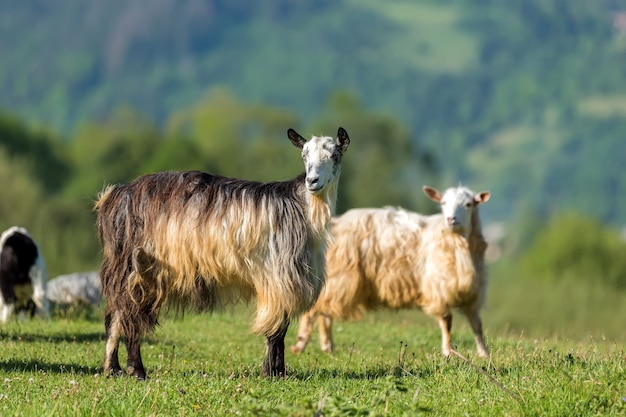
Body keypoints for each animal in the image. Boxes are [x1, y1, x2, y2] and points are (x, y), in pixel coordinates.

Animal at [93, 127, 348, 376]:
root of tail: (113, 195)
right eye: (304, 155)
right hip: (130, 266)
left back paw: (117, 368)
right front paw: (271, 372)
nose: (312, 180)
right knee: (124, 314)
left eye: (334, 155)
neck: (303, 210)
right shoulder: (277, 277)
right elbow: (275, 331)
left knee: (122, 313)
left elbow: (280, 328)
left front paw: (278, 370)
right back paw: (131, 369)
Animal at [290, 185, 490, 358]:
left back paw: (327, 346)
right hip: (339, 278)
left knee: (324, 312)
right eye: (443, 203)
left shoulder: (473, 293)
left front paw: (484, 353)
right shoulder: (437, 288)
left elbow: (477, 325)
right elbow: (447, 321)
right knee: (315, 310)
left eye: (469, 204)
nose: (450, 220)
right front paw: (448, 352)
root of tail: (335, 224)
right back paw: (301, 344)